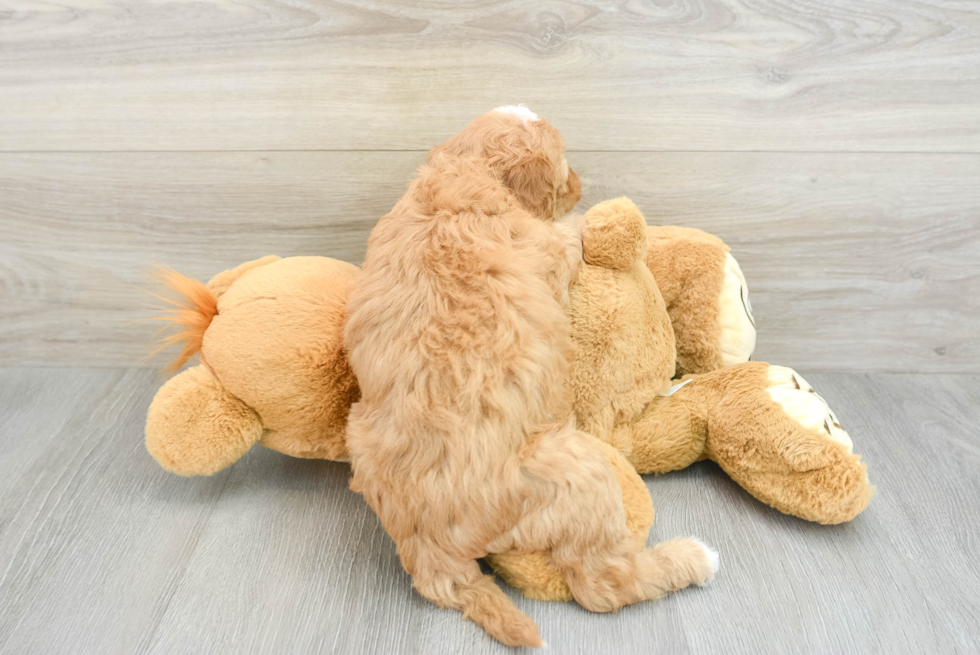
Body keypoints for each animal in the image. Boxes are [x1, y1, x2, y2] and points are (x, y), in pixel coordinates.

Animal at [344, 107, 720, 644]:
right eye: (565, 168)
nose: (583, 185)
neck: (464, 173)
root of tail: (430, 549)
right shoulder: (547, 251)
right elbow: (570, 235)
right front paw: (594, 218)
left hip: (359, 432)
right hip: (582, 475)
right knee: (603, 586)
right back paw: (692, 557)